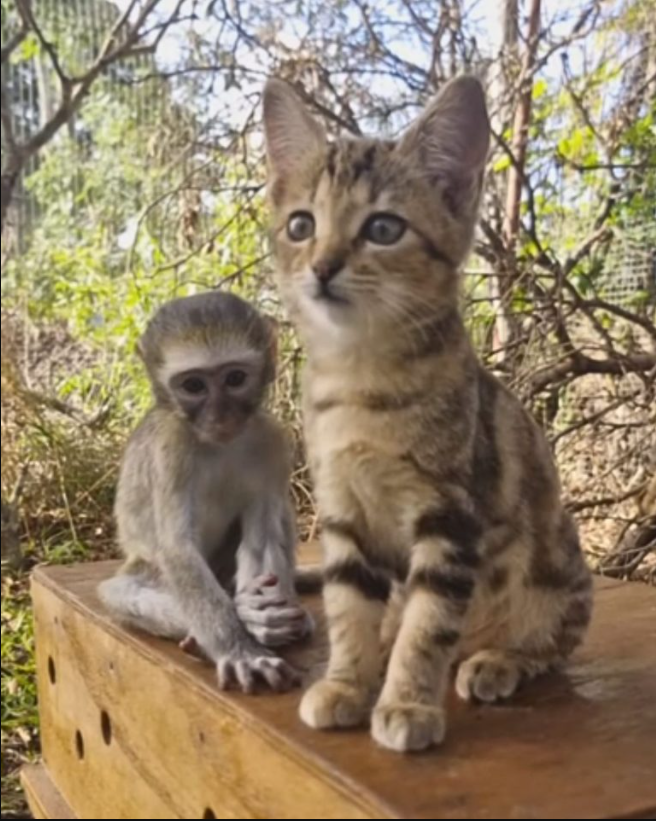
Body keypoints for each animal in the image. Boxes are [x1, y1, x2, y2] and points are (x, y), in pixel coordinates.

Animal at [99, 292, 316, 688]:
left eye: (235, 378)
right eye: (194, 386)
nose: (220, 415)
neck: (218, 444)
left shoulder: (272, 440)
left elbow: (262, 536)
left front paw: (262, 621)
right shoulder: (170, 447)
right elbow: (177, 549)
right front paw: (240, 648)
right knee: (123, 591)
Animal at [262, 75, 596, 748]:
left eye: (384, 229)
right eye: (301, 224)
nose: (323, 266)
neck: (361, 381)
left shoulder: (451, 518)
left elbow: (430, 623)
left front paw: (407, 703)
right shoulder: (343, 513)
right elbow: (348, 610)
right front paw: (346, 683)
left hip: (556, 572)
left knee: (549, 642)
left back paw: (496, 660)